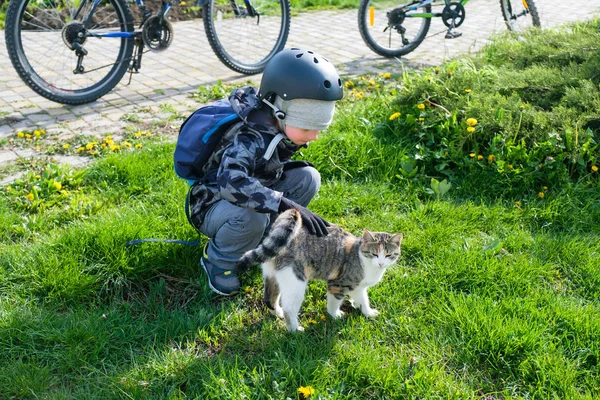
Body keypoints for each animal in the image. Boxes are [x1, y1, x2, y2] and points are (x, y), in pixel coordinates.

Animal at [236, 209, 404, 332]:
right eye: (374, 254)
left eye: (388, 255)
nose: (381, 263)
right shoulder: (338, 284)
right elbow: (334, 303)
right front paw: (335, 315)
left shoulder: (359, 286)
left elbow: (363, 299)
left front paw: (368, 312)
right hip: (296, 281)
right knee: (289, 308)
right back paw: (295, 330)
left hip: (273, 276)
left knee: (269, 298)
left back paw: (277, 313)